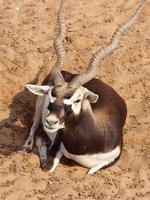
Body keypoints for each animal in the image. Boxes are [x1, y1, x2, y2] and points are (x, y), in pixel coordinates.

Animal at [22, 0, 148, 173]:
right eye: (51, 95)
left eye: (77, 99)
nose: (51, 122)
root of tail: (68, 72)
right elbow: (48, 165)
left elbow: (91, 171)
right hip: (39, 104)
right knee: (34, 126)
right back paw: (27, 145)